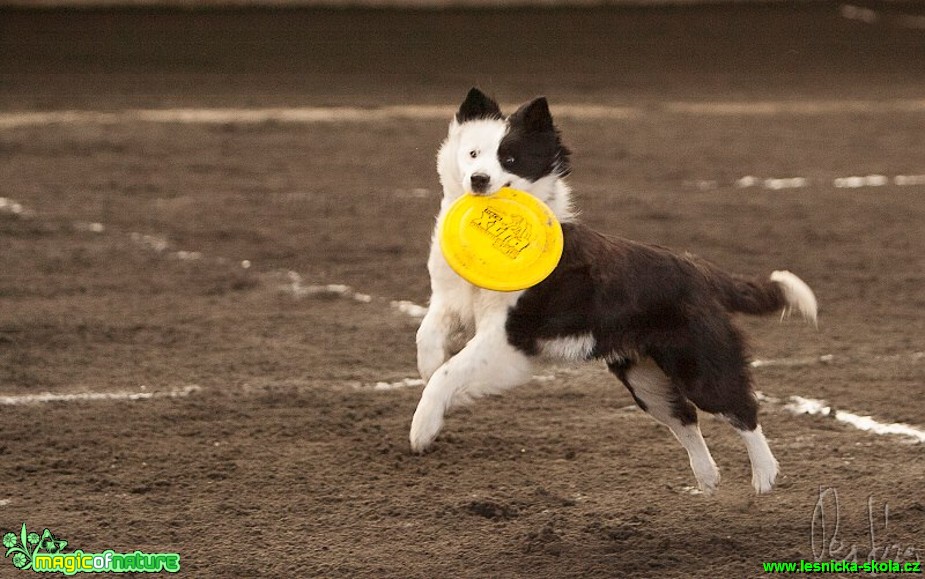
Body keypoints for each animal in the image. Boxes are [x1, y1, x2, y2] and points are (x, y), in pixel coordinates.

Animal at [412, 88, 816, 496]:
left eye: (509, 159)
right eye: (473, 153)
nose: (479, 180)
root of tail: (700, 271)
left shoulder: (507, 336)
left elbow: (451, 372)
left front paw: (422, 428)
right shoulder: (451, 299)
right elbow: (427, 337)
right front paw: (427, 368)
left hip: (698, 363)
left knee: (739, 408)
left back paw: (764, 477)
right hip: (643, 376)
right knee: (684, 416)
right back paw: (706, 482)